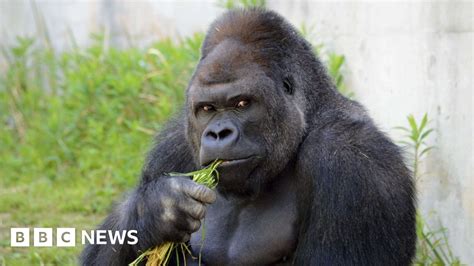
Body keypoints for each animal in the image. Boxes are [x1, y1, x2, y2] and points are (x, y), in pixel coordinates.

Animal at [80, 8, 414, 266]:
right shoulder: (172, 146)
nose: (218, 133)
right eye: (207, 108)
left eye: (242, 103)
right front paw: (155, 212)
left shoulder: (351, 163)